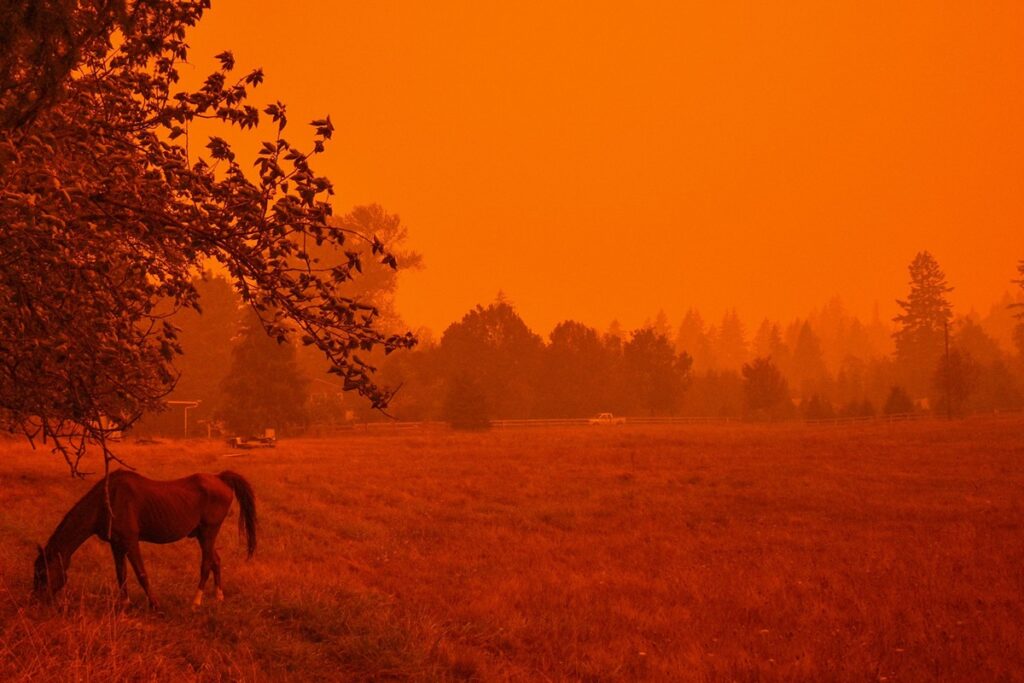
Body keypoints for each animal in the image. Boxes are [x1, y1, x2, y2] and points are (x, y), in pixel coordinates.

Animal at [33, 471, 256, 610]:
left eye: (43, 573)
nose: (36, 602)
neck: (107, 502)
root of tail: (220, 478)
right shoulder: (116, 545)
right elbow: (121, 575)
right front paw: (124, 604)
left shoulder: (131, 542)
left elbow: (141, 574)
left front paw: (155, 605)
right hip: (203, 536)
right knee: (216, 561)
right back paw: (219, 596)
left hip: (209, 533)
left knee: (206, 564)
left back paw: (196, 602)